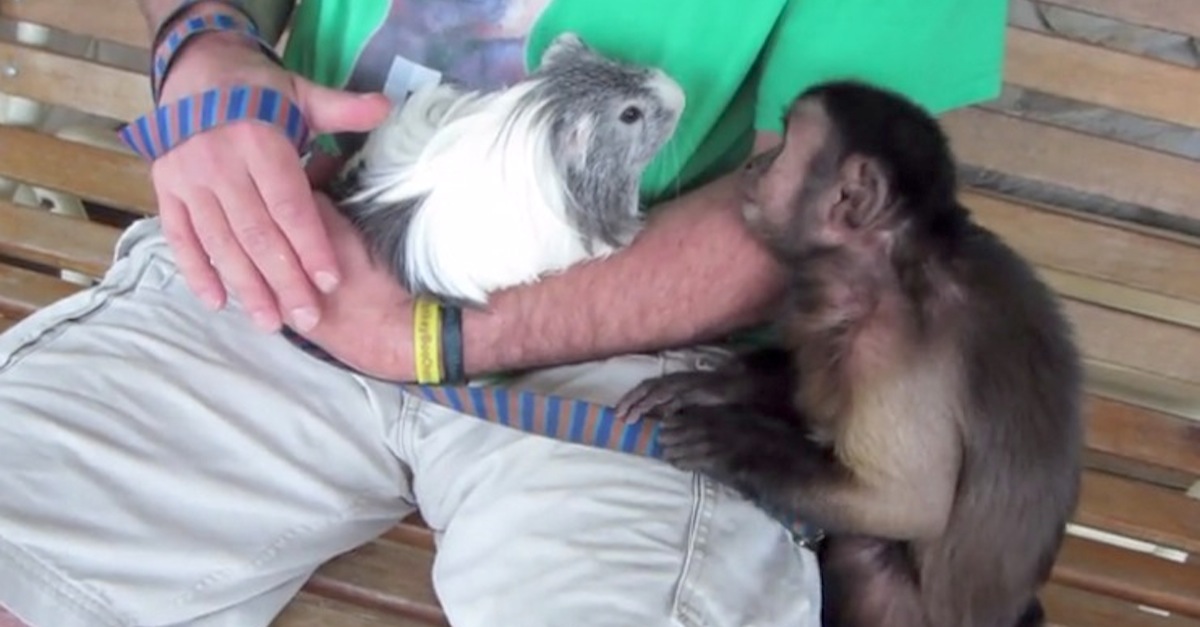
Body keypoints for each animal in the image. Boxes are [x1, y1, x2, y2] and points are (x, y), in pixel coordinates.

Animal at [619, 81, 1089, 624]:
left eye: (783, 147)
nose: (754, 165)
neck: (891, 259)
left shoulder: (889, 345)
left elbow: (907, 504)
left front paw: (741, 443)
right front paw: (716, 385)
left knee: (864, 549)